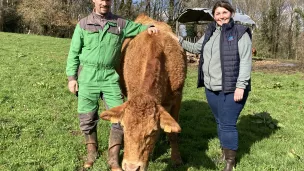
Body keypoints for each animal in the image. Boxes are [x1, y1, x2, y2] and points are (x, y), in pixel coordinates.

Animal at [100, 14, 185, 171]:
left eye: (152, 131)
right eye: (123, 127)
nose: (131, 167)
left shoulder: (177, 97)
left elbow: (173, 134)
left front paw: (176, 159)